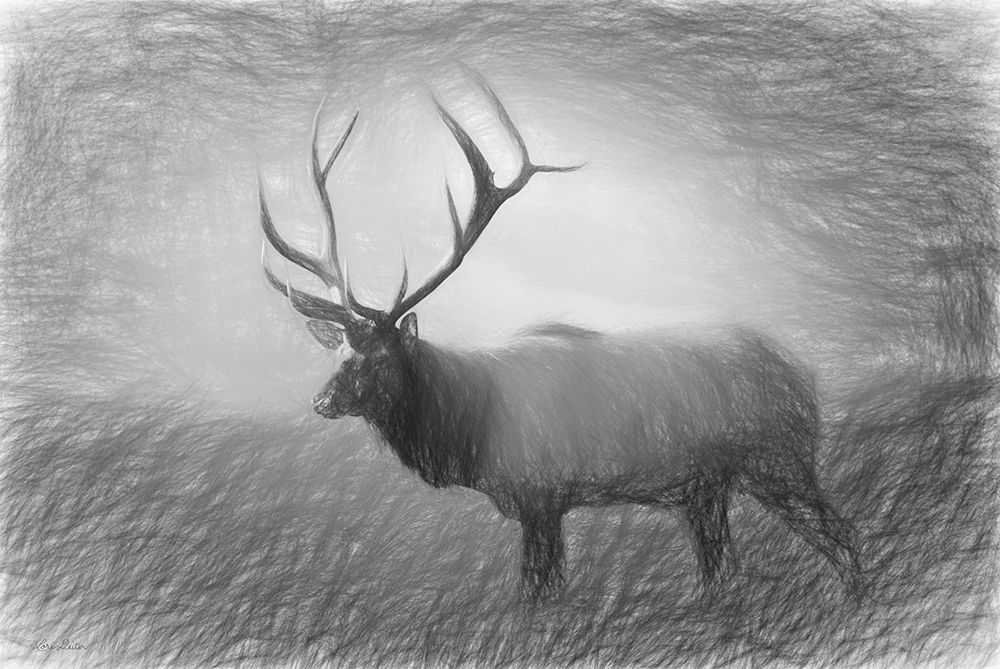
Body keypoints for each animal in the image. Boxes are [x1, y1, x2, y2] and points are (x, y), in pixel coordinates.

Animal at [258, 70, 861, 601]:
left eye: (380, 355)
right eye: (338, 350)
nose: (321, 401)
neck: (470, 429)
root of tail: (804, 377)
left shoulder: (541, 493)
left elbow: (539, 591)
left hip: (779, 459)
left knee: (843, 537)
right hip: (708, 488)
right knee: (723, 568)